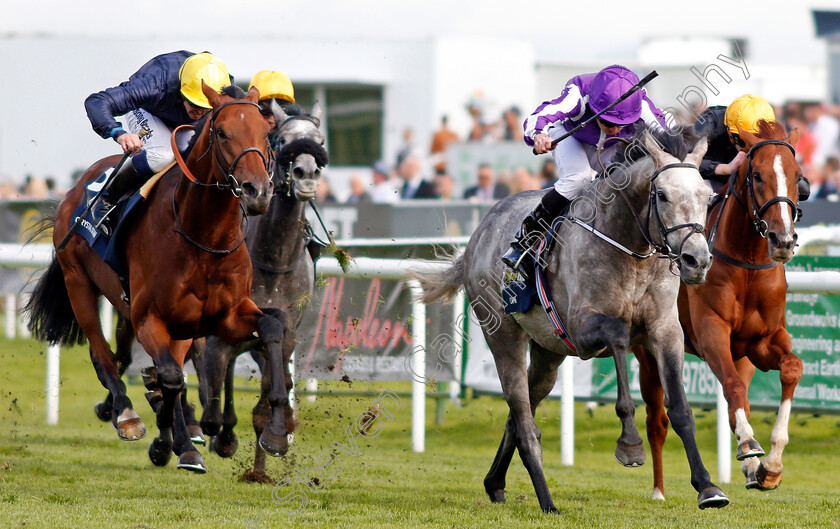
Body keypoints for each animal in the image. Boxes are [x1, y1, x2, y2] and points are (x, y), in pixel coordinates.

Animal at [26, 84, 294, 472]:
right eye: (222, 132)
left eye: (265, 132)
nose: (257, 192)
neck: (204, 237)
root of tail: (77, 188)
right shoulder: (150, 318)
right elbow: (169, 377)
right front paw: (166, 432)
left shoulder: (225, 316)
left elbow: (271, 328)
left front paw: (274, 432)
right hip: (78, 282)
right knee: (104, 354)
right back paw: (127, 414)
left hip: (168, 322)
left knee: (141, 362)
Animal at [198, 97, 328, 480]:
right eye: (282, 140)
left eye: (320, 141)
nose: (305, 173)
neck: (272, 259)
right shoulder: (220, 327)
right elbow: (213, 373)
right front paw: (222, 433)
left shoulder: (285, 332)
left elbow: (272, 390)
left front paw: (270, 448)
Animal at [408, 127, 728, 512]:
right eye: (662, 195)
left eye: (707, 197)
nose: (697, 260)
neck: (628, 245)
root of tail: (477, 237)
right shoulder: (582, 328)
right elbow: (618, 334)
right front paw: (630, 443)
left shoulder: (665, 330)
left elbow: (680, 408)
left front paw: (708, 487)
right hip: (503, 336)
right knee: (525, 422)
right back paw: (547, 502)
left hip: (548, 354)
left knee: (518, 416)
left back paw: (495, 483)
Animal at [636, 117, 808, 498]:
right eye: (756, 175)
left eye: (797, 175)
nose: (783, 240)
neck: (747, 264)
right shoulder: (710, 331)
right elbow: (731, 387)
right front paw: (748, 445)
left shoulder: (763, 340)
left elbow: (791, 368)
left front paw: (770, 465)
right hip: (647, 351)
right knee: (657, 421)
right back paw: (658, 490)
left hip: (742, 354)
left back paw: (752, 468)